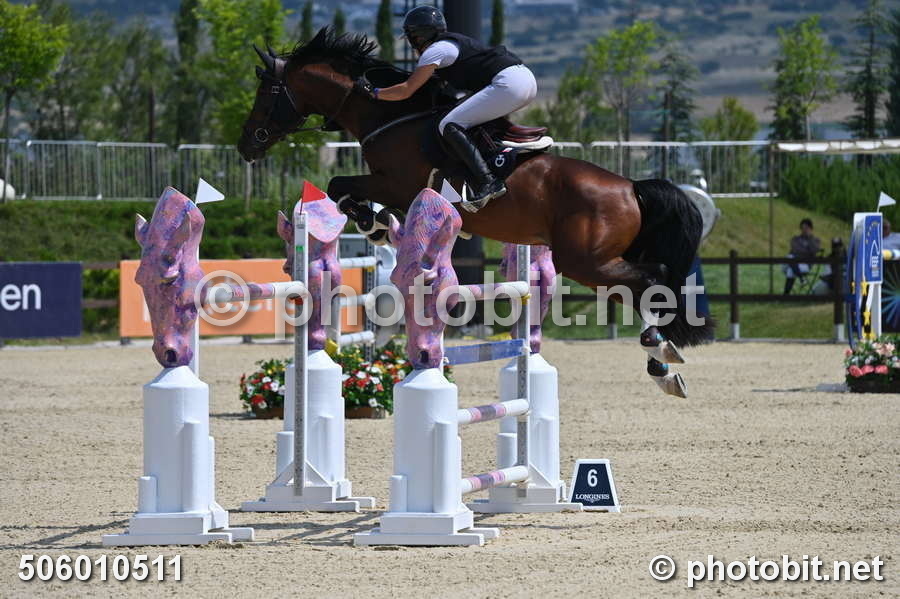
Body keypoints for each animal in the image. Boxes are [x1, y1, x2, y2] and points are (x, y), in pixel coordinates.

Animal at [236, 27, 714, 397]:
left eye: (266, 93)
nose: (246, 145)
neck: (387, 114)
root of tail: (631, 187)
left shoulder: (396, 183)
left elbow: (340, 186)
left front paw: (373, 223)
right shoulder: (397, 189)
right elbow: (346, 194)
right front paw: (380, 225)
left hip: (585, 262)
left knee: (651, 279)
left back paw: (658, 350)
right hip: (596, 262)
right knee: (646, 284)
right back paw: (662, 365)